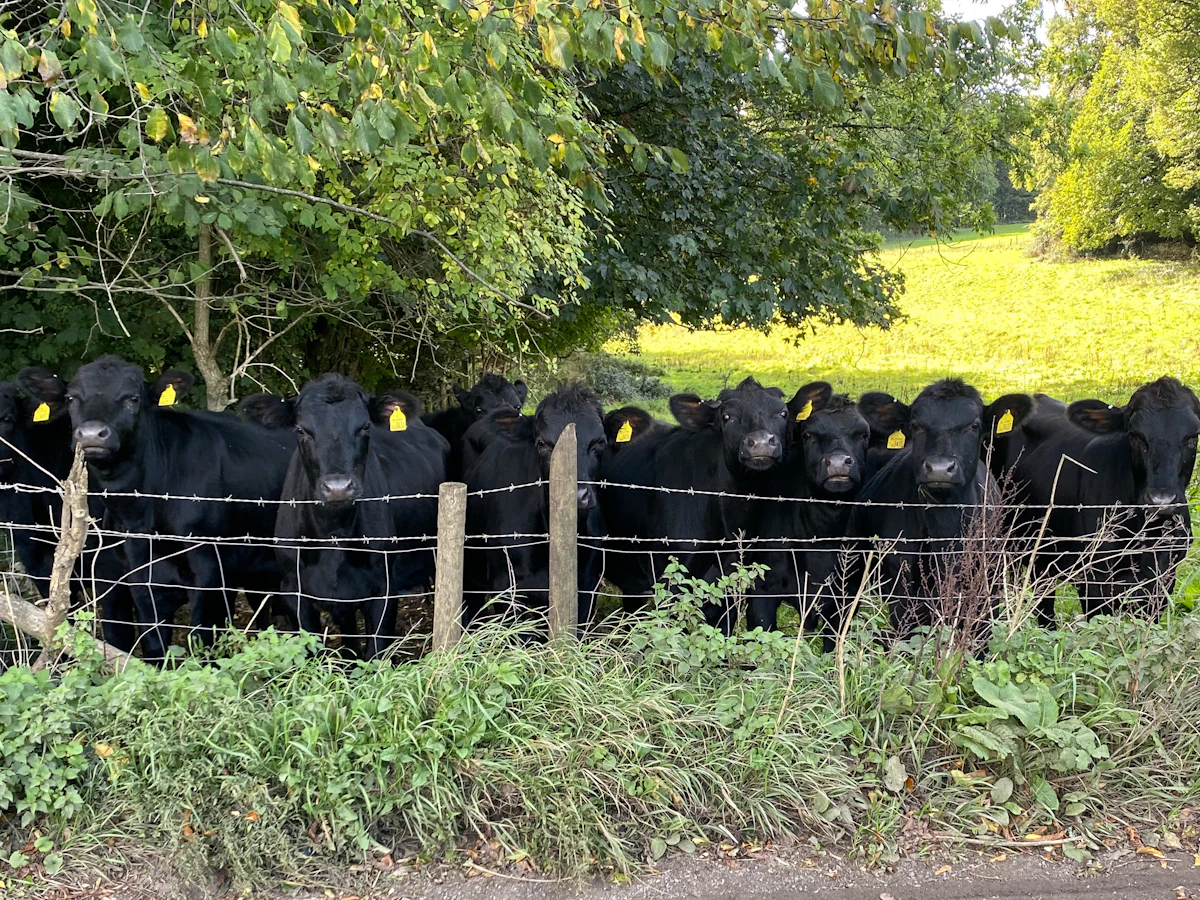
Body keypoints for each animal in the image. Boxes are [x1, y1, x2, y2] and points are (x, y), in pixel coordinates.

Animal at [20, 355, 296, 663]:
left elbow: (201, 642)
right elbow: (153, 647)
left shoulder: (208, 574)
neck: (143, 517)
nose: (92, 434)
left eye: (133, 398)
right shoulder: (140, 580)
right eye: (71, 398)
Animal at [238, 375, 447, 658]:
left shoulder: (383, 590)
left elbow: (374, 656)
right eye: (301, 430)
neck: (333, 535)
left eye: (365, 426)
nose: (338, 487)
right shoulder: (294, 592)